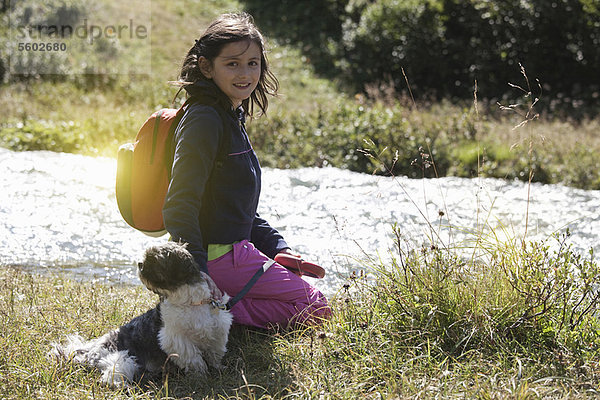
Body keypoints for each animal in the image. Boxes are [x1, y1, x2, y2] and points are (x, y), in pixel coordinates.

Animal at [50, 242, 233, 386]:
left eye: (154, 260)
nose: (140, 264)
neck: (190, 303)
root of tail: (90, 349)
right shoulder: (175, 339)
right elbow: (194, 359)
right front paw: (201, 374)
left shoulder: (217, 329)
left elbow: (215, 352)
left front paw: (218, 367)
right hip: (123, 358)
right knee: (113, 373)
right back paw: (120, 384)